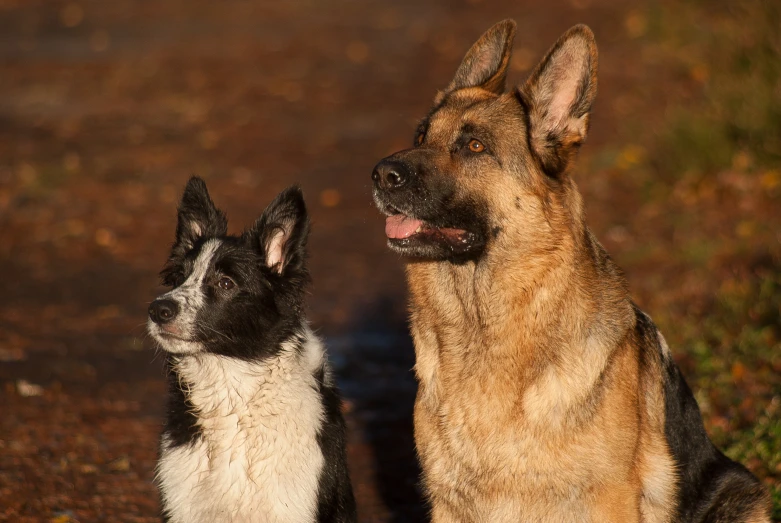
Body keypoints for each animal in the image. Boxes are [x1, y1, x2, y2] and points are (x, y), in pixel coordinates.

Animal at [370, 18, 768, 520]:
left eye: (473, 145)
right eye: (421, 136)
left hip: (741, 491)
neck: (483, 321)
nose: (381, 174)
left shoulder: (607, 500)